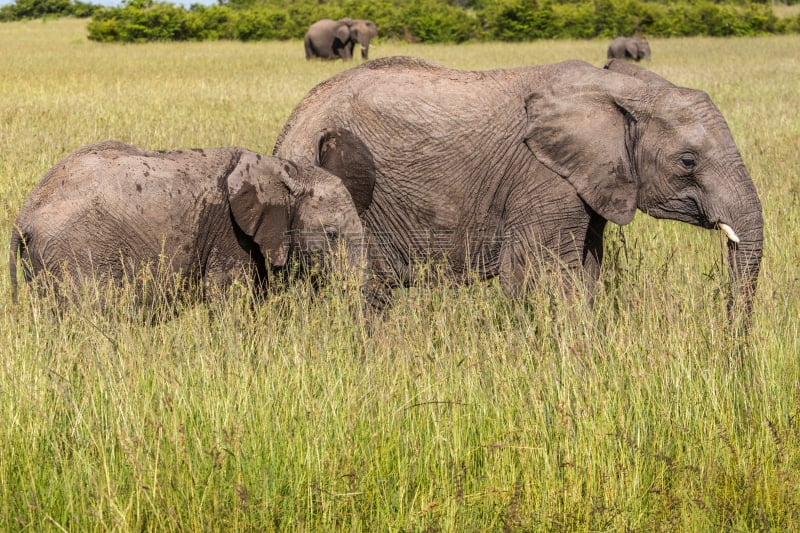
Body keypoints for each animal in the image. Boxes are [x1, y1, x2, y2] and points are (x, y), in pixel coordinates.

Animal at [10, 134, 376, 308]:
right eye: (331, 234)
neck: (285, 170)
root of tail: (25, 214)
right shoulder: (229, 233)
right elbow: (230, 301)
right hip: (76, 254)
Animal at [274, 56, 764, 318]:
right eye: (688, 161)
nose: (730, 347)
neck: (614, 88)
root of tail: (289, 127)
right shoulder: (542, 177)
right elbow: (540, 276)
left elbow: (587, 272)